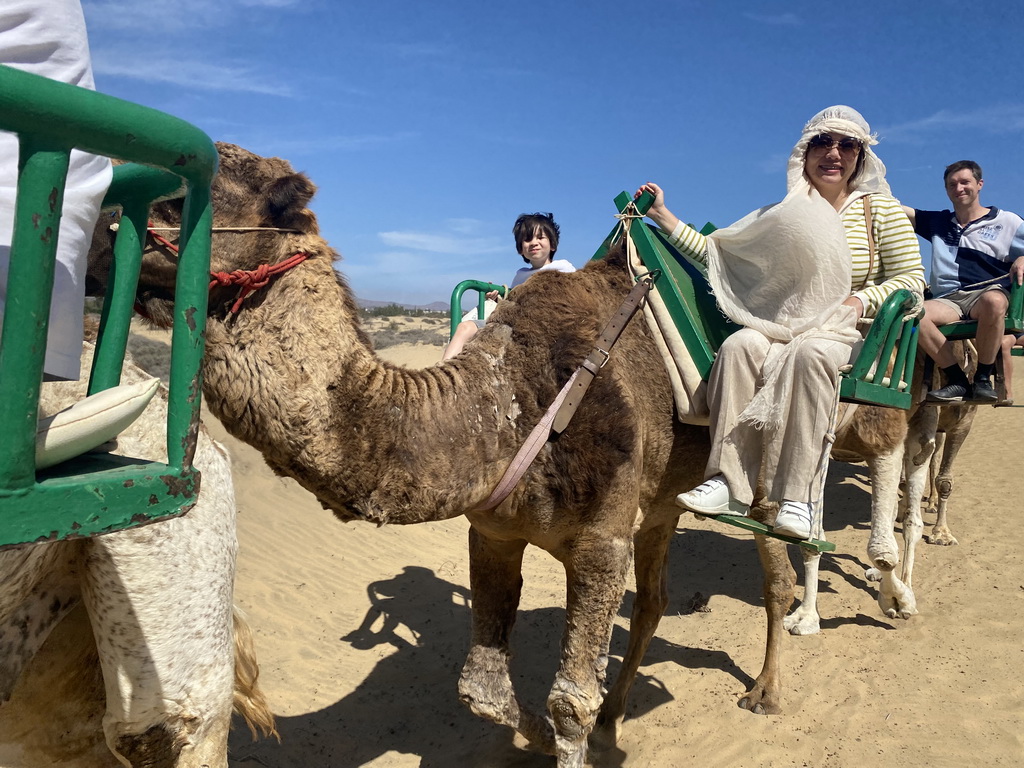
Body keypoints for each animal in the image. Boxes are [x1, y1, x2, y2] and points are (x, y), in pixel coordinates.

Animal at [92, 143, 921, 765]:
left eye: (177, 197)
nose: (95, 230)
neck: (512, 405)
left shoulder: (597, 540)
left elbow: (568, 697)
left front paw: (569, 728)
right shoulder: (493, 529)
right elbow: (484, 691)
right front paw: (536, 734)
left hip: (762, 458)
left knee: (774, 566)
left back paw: (767, 690)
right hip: (661, 498)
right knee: (654, 597)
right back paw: (624, 712)